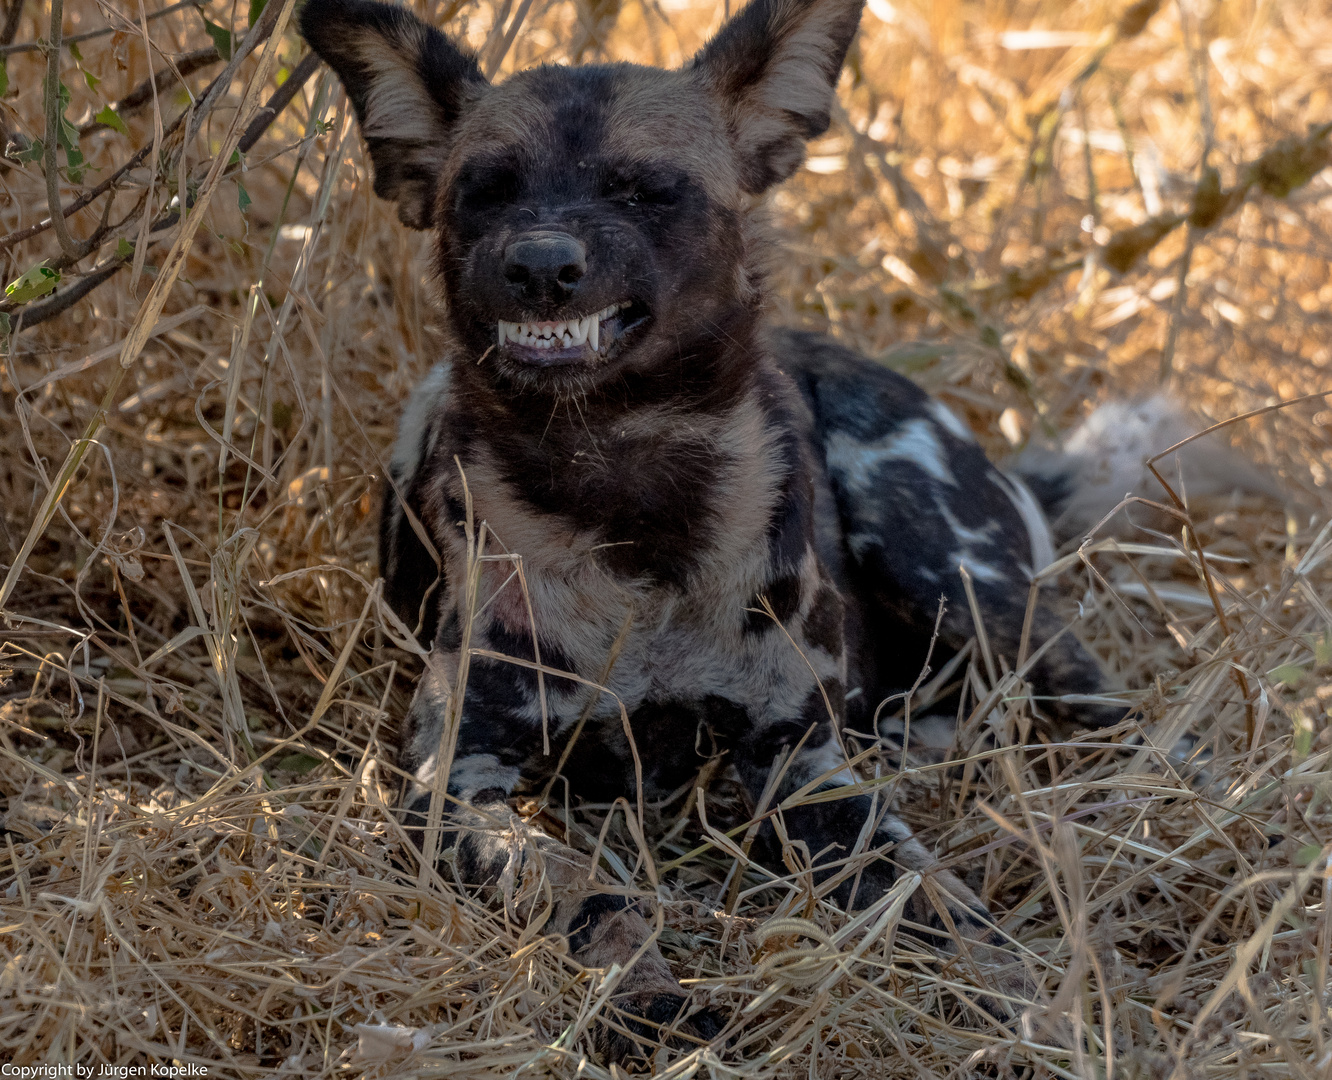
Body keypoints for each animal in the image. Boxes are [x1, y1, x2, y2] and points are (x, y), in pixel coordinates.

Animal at [299, 0, 1124, 1065]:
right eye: (484, 193)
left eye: (647, 190)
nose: (540, 266)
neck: (628, 490)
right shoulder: (459, 783)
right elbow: (582, 893)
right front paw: (651, 1001)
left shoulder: (801, 771)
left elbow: (933, 894)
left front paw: (1023, 994)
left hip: (957, 580)